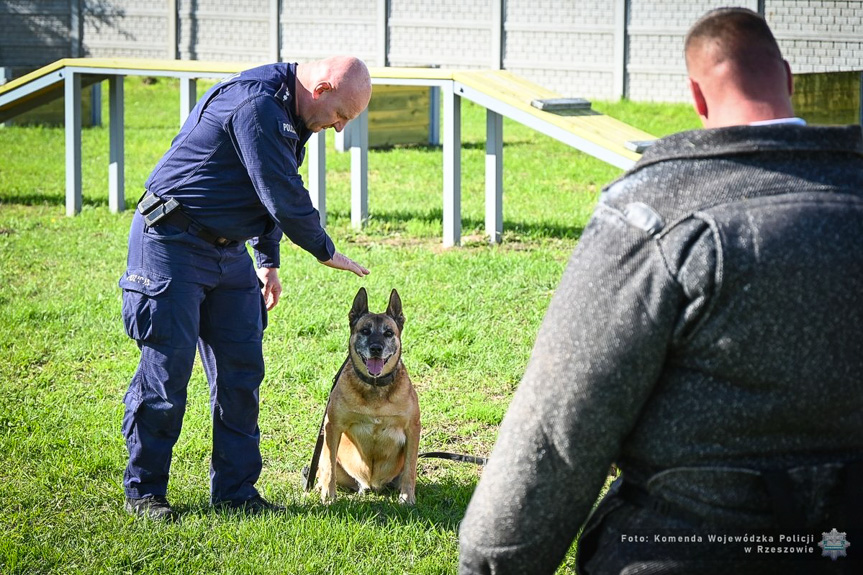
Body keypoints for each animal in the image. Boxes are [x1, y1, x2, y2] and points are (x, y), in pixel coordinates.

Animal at [318, 286, 424, 504]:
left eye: (389, 333)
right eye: (365, 331)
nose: (376, 348)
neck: (375, 388)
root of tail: (371, 485)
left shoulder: (413, 428)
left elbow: (410, 469)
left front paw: (407, 497)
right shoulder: (333, 426)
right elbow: (330, 467)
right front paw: (329, 496)